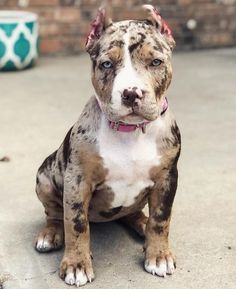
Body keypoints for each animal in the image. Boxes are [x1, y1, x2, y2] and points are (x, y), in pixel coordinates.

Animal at [35, 4, 181, 286]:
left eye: (156, 62)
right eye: (106, 64)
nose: (132, 93)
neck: (131, 132)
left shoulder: (167, 178)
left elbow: (161, 219)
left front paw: (158, 255)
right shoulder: (77, 180)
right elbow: (76, 223)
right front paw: (77, 265)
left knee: (135, 213)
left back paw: (141, 224)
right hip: (45, 178)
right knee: (55, 213)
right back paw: (50, 234)